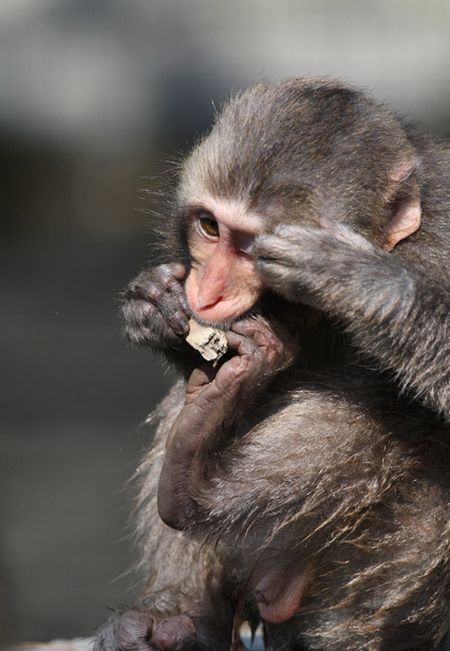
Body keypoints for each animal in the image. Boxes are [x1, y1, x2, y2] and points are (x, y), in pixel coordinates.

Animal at [96, 81, 450, 651]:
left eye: (251, 248)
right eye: (210, 227)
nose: (206, 293)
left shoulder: (438, 252)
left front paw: (359, 279)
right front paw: (151, 305)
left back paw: (193, 486)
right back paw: (183, 616)